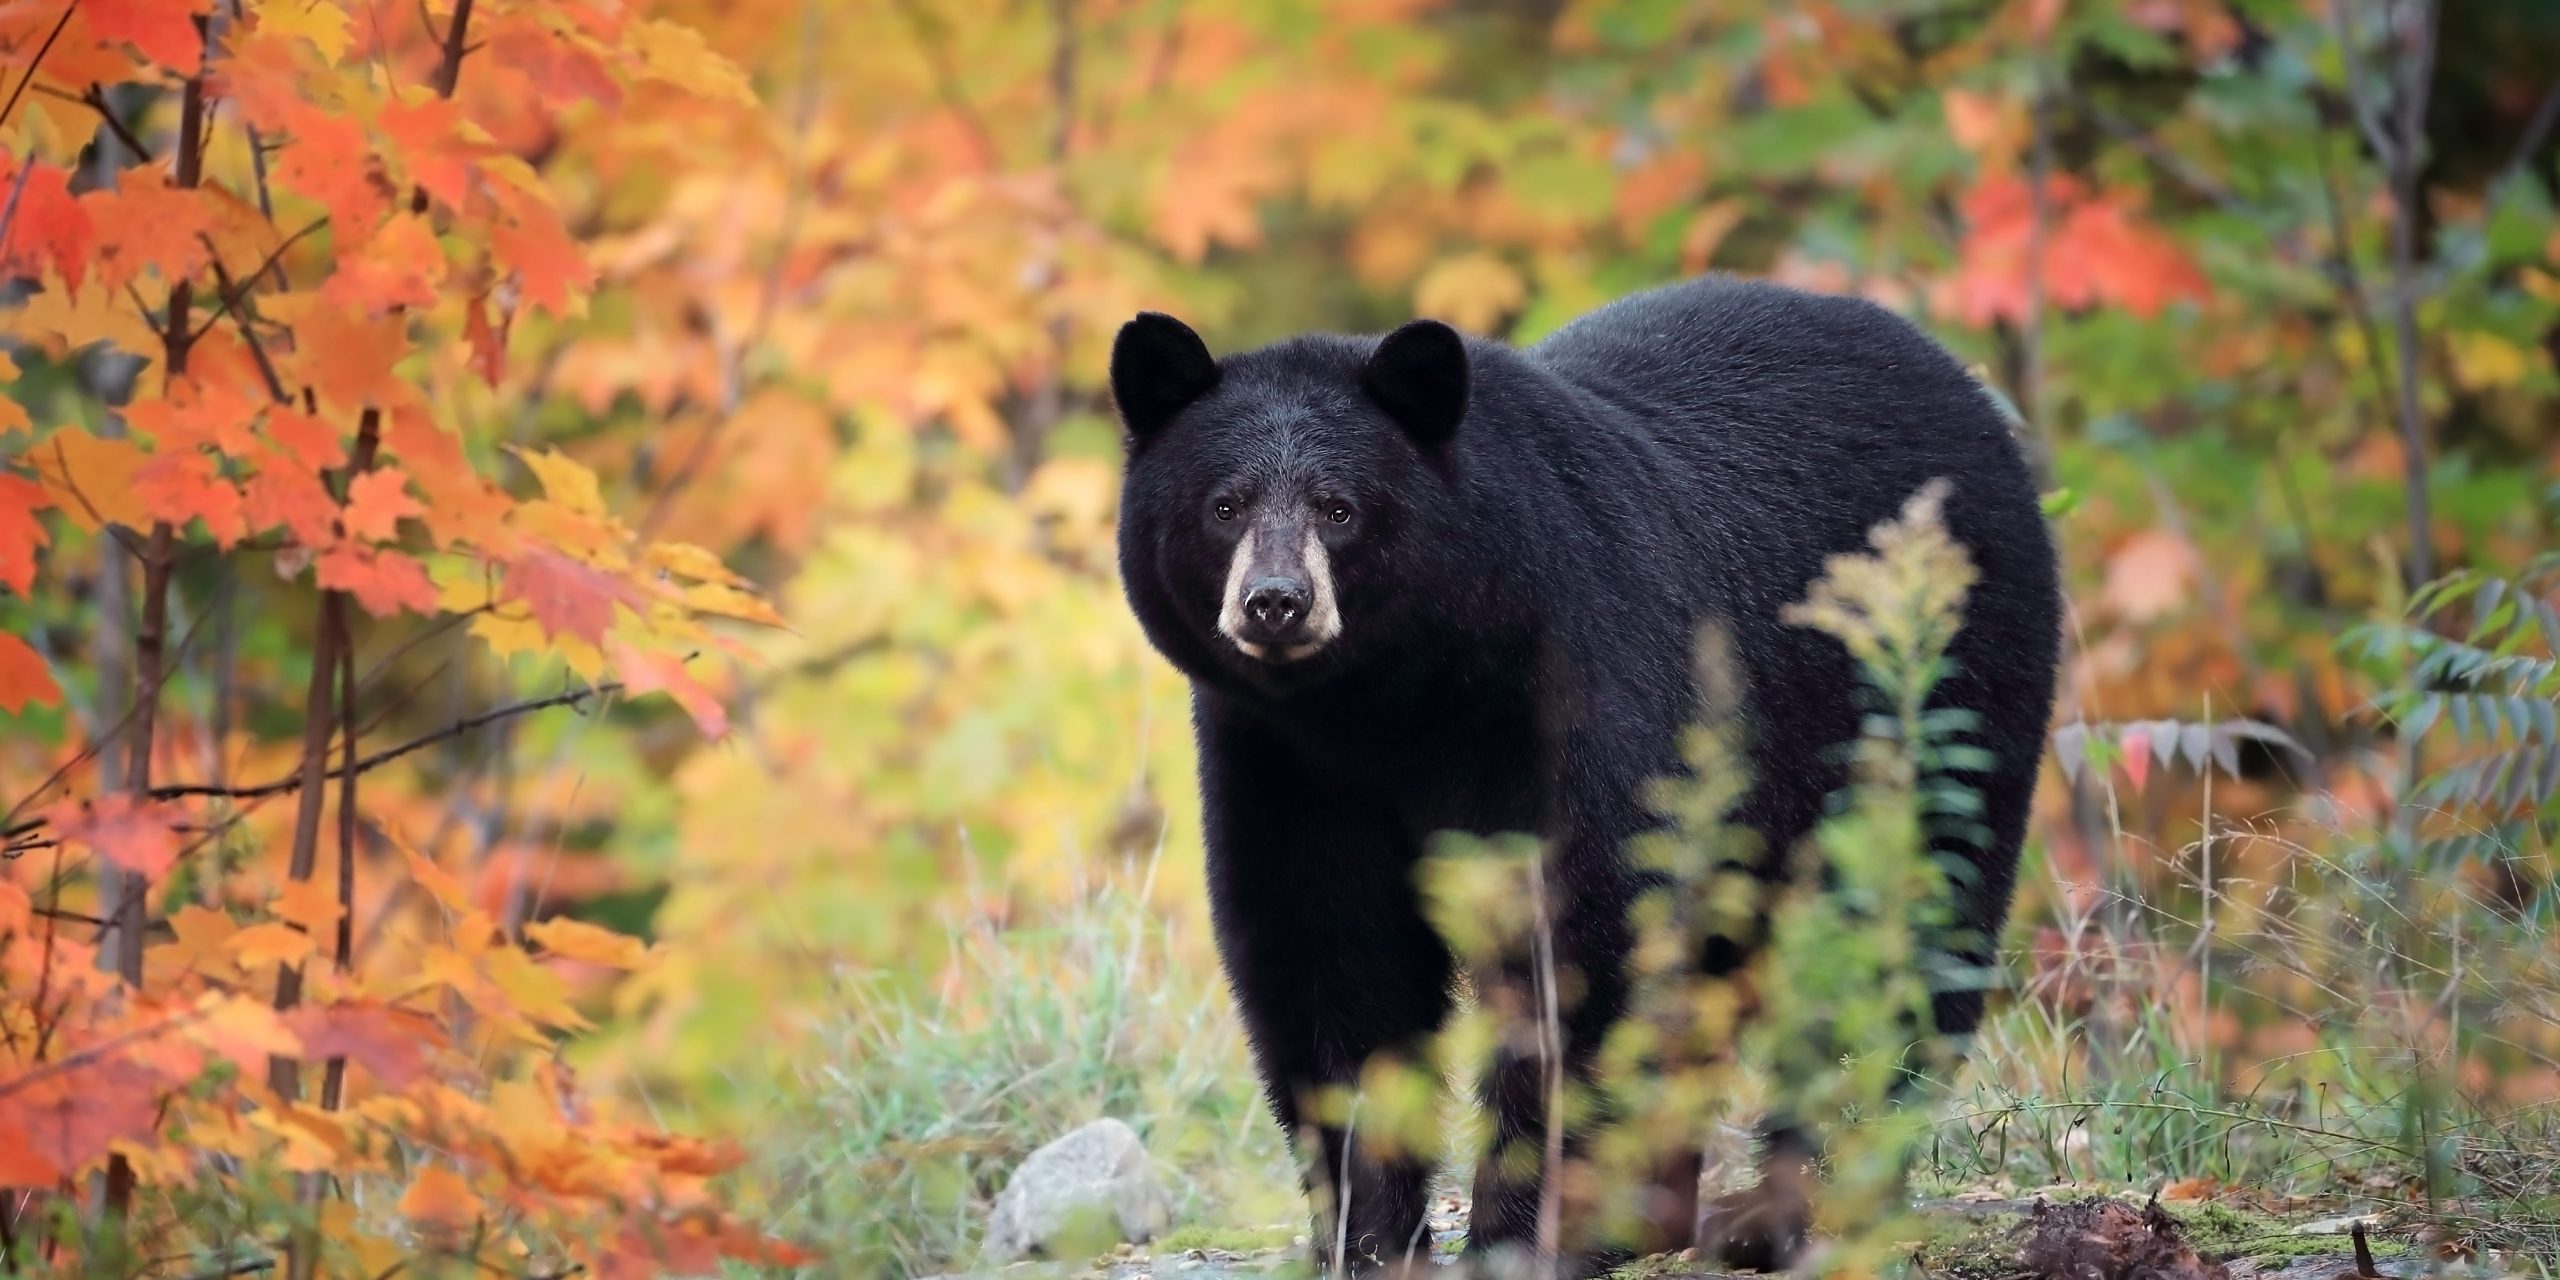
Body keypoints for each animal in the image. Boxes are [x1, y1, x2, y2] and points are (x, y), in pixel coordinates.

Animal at [1111, 275, 2068, 1274]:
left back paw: (1794, 1205)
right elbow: (1328, 951)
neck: (1401, 695)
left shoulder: (1586, 678)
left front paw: (1522, 1232)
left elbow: (1590, 936)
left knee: (1901, 922)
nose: (1275, 603)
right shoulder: (1285, 758)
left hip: (1934, 695)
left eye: (1340, 507)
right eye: (1225, 505)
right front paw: (1366, 1237)